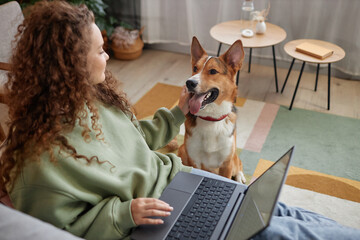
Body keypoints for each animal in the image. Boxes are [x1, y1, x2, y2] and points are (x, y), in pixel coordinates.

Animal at [178, 36, 246, 183]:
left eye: (213, 71)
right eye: (195, 68)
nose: (189, 82)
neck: (210, 119)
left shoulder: (226, 164)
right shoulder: (194, 161)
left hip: (233, 157)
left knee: (238, 164)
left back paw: (239, 177)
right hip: (182, 150)